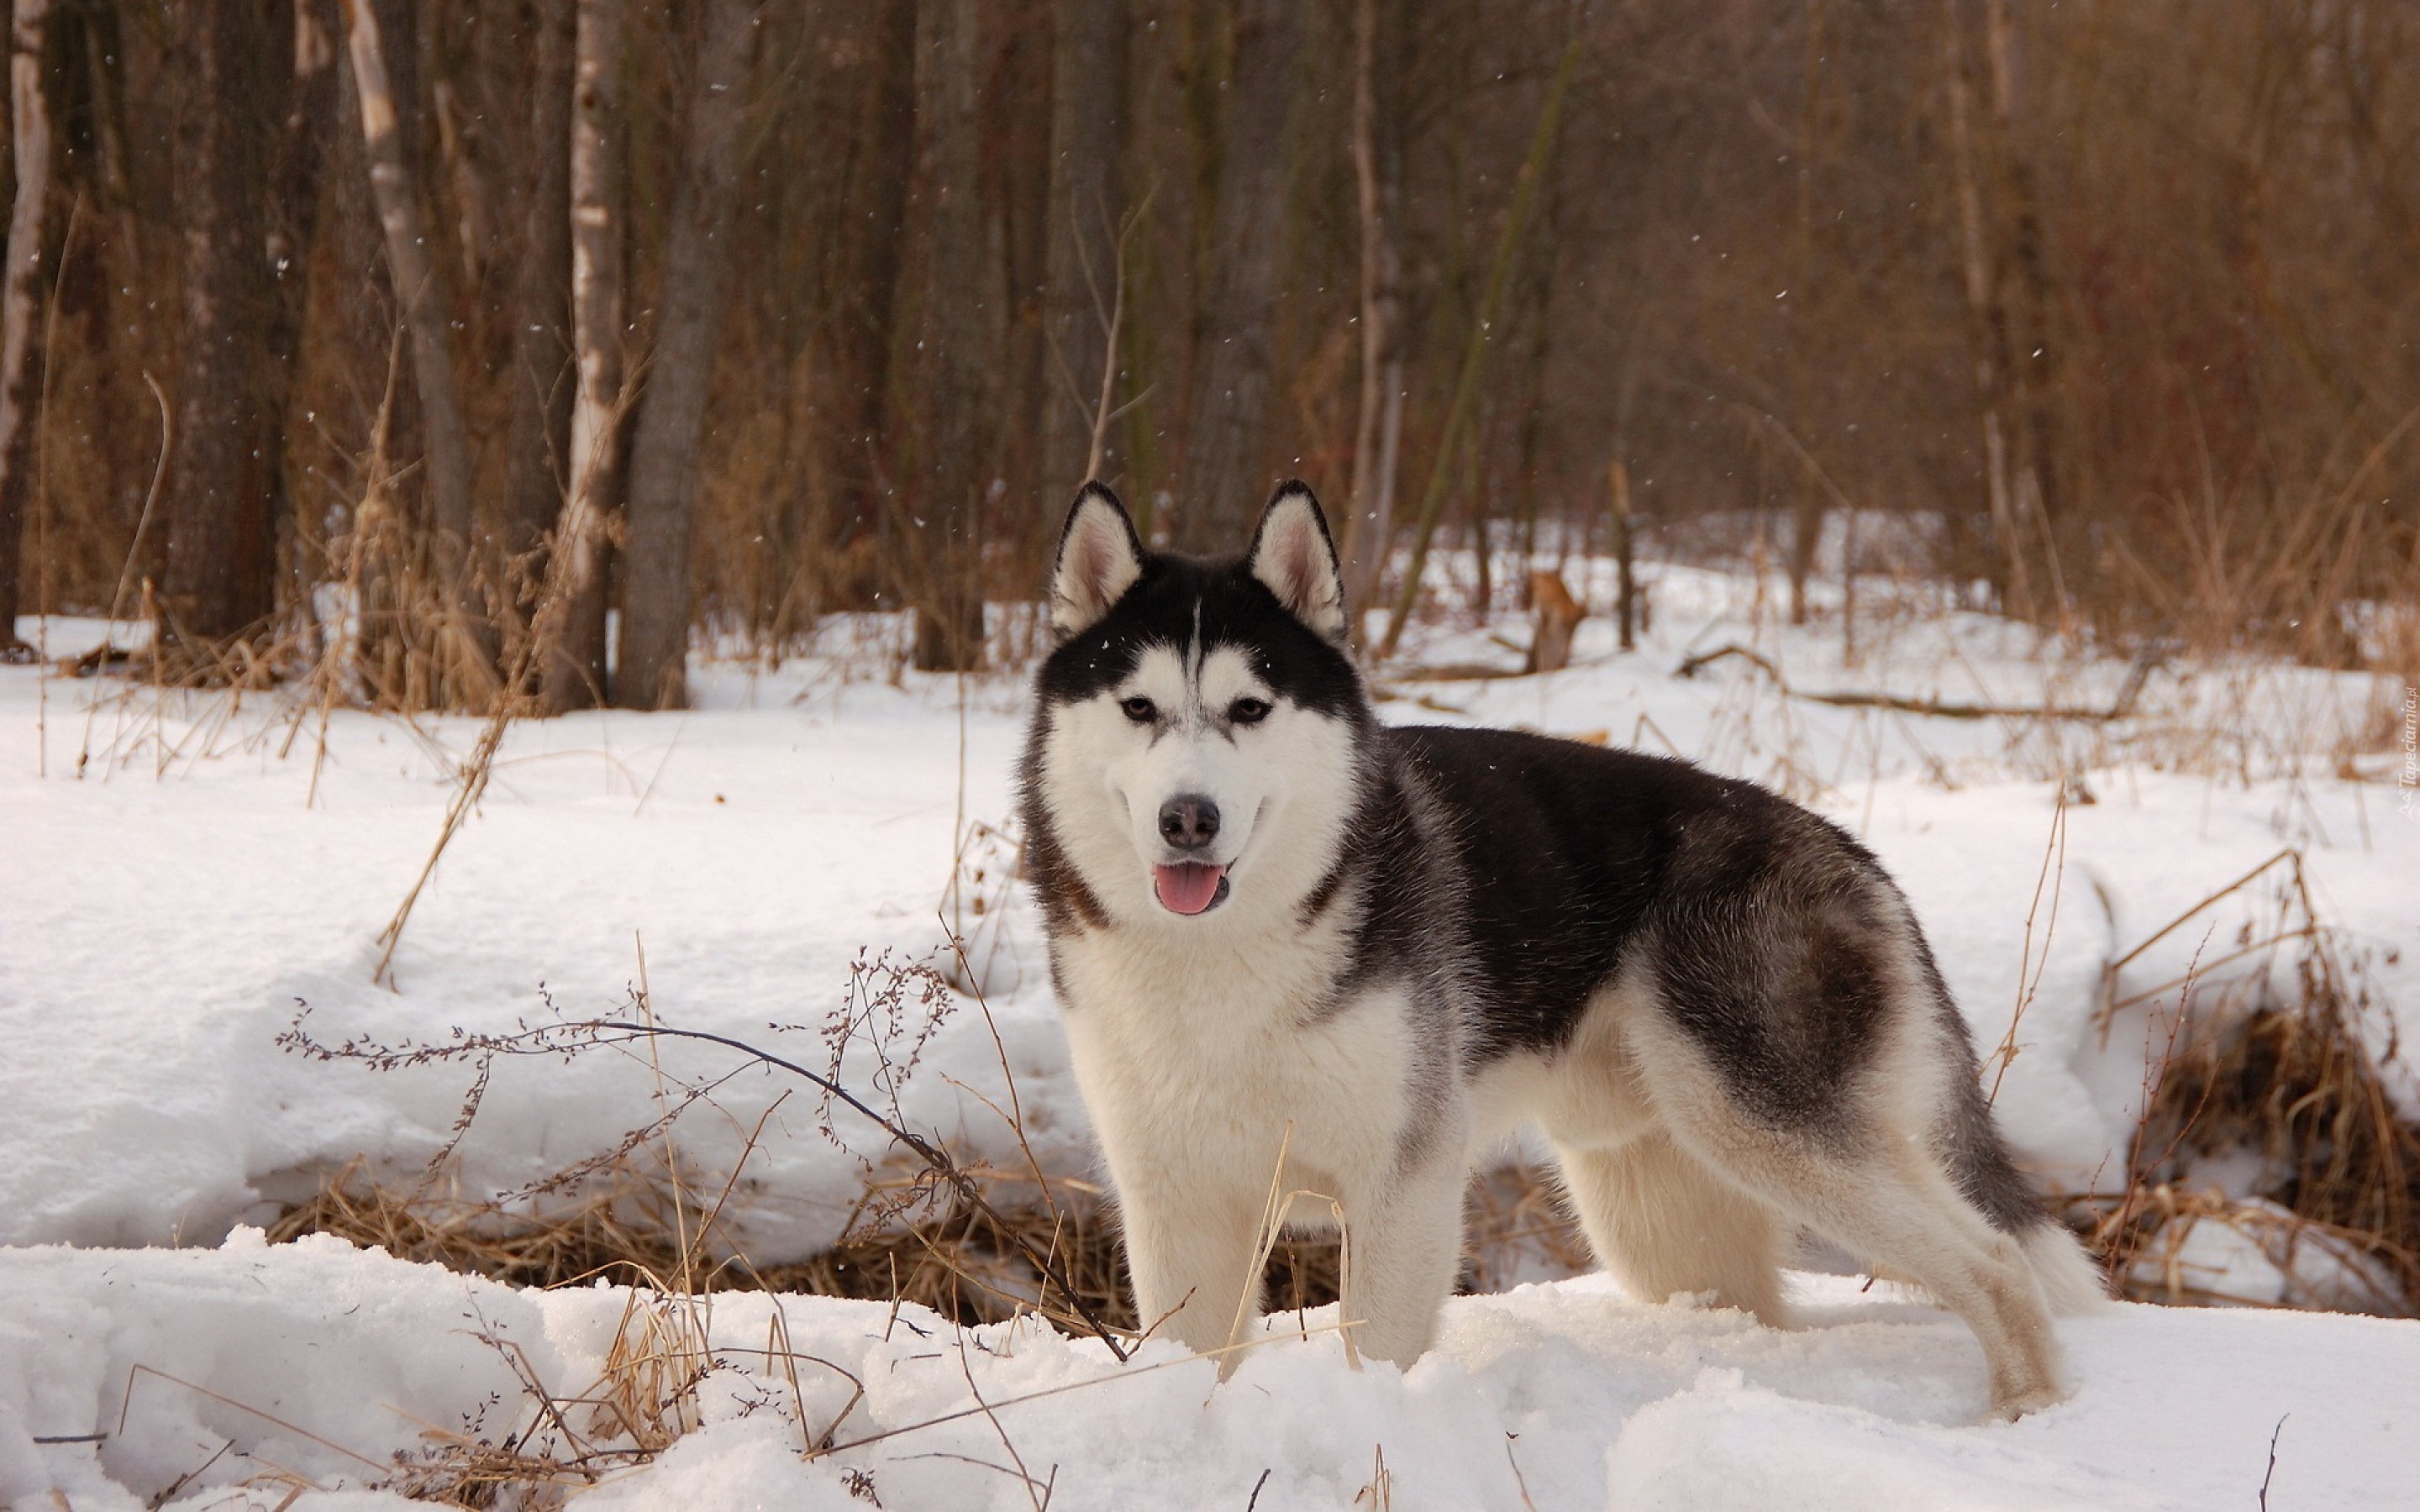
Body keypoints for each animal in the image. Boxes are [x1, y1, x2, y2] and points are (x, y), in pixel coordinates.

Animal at [1016, 476, 2100, 1412]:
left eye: (1251, 707)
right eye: (1139, 707)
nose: (1187, 818)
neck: (1222, 956)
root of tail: (1847, 850)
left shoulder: (1404, 1183)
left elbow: (1382, 1354)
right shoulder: (1178, 1202)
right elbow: (1192, 1359)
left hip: (1768, 1127)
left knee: (1997, 1263)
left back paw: (2025, 1416)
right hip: (1658, 1210)